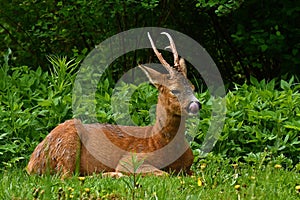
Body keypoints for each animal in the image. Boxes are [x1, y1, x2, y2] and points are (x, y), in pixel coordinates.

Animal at [27, 32, 200, 177]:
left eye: (193, 87)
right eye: (174, 90)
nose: (196, 105)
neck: (159, 142)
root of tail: (31, 164)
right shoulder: (131, 159)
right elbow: (164, 174)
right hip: (66, 146)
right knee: (69, 177)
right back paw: (113, 175)